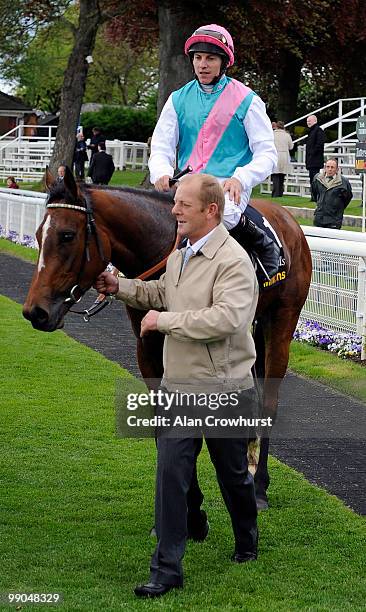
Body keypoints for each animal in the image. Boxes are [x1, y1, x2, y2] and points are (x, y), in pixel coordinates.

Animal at [22, 167, 312, 506]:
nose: (35, 312)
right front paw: (188, 500)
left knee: (269, 402)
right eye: (39, 235)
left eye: (67, 235)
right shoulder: (147, 348)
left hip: (281, 322)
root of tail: (288, 219)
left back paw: (260, 485)